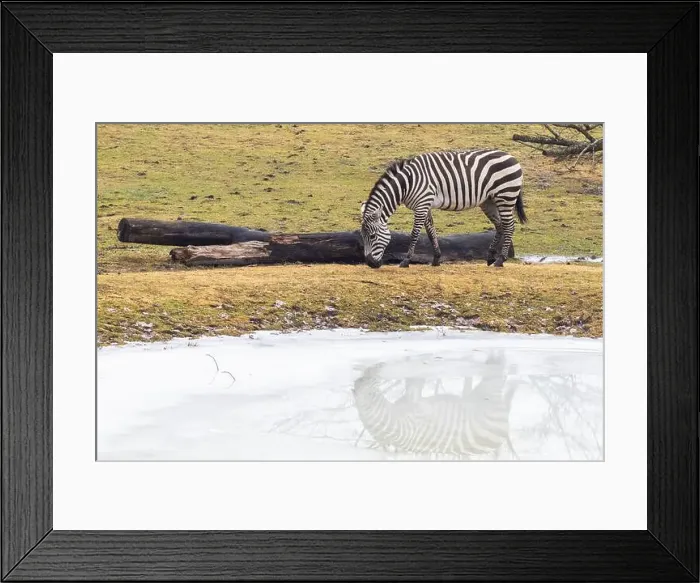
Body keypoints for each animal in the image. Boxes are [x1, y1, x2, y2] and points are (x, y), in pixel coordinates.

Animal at [359, 149, 526, 269]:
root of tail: (512, 157)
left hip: (505, 195)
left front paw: (406, 261)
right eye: (363, 236)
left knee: (509, 226)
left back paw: (500, 260)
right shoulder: (425, 205)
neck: (407, 184)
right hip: (488, 201)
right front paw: (436, 259)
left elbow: (414, 234)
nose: (370, 264)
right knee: (500, 225)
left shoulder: (422, 204)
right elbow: (431, 232)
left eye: (372, 236)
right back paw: (491, 257)